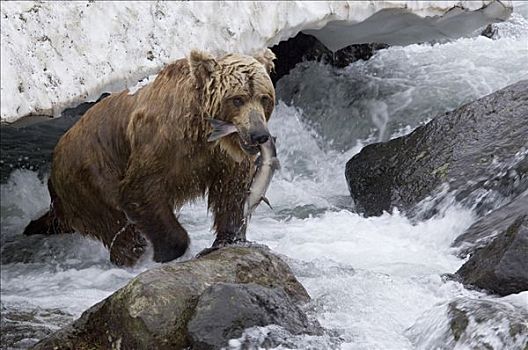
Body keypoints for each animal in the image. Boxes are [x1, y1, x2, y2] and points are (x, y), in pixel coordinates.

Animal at [22, 49, 278, 266]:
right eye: (237, 98)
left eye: (264, 98)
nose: (259, 135)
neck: (201, 132)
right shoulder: (160, 145)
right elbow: (140, 190)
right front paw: (169, 250)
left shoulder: (222, 158)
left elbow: (231, 192)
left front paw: (230, 238)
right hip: (90, 176)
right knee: (117, 226)